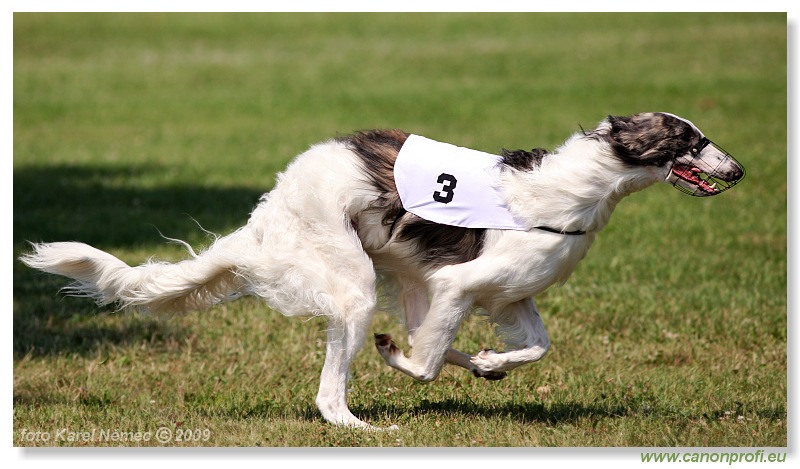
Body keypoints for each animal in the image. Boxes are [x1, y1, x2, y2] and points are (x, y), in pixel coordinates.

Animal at [20, 111, 744, 430]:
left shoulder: (508, 297)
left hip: (392, 278)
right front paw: (406, 359)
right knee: (330, 391)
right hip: (355, 285)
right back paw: (361, 424)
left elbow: (532, 346)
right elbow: (423, 363)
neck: (569, 193)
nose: (739, 170)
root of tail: (263, 221)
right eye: (690, 138)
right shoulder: (456, 284)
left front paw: (486, 363)